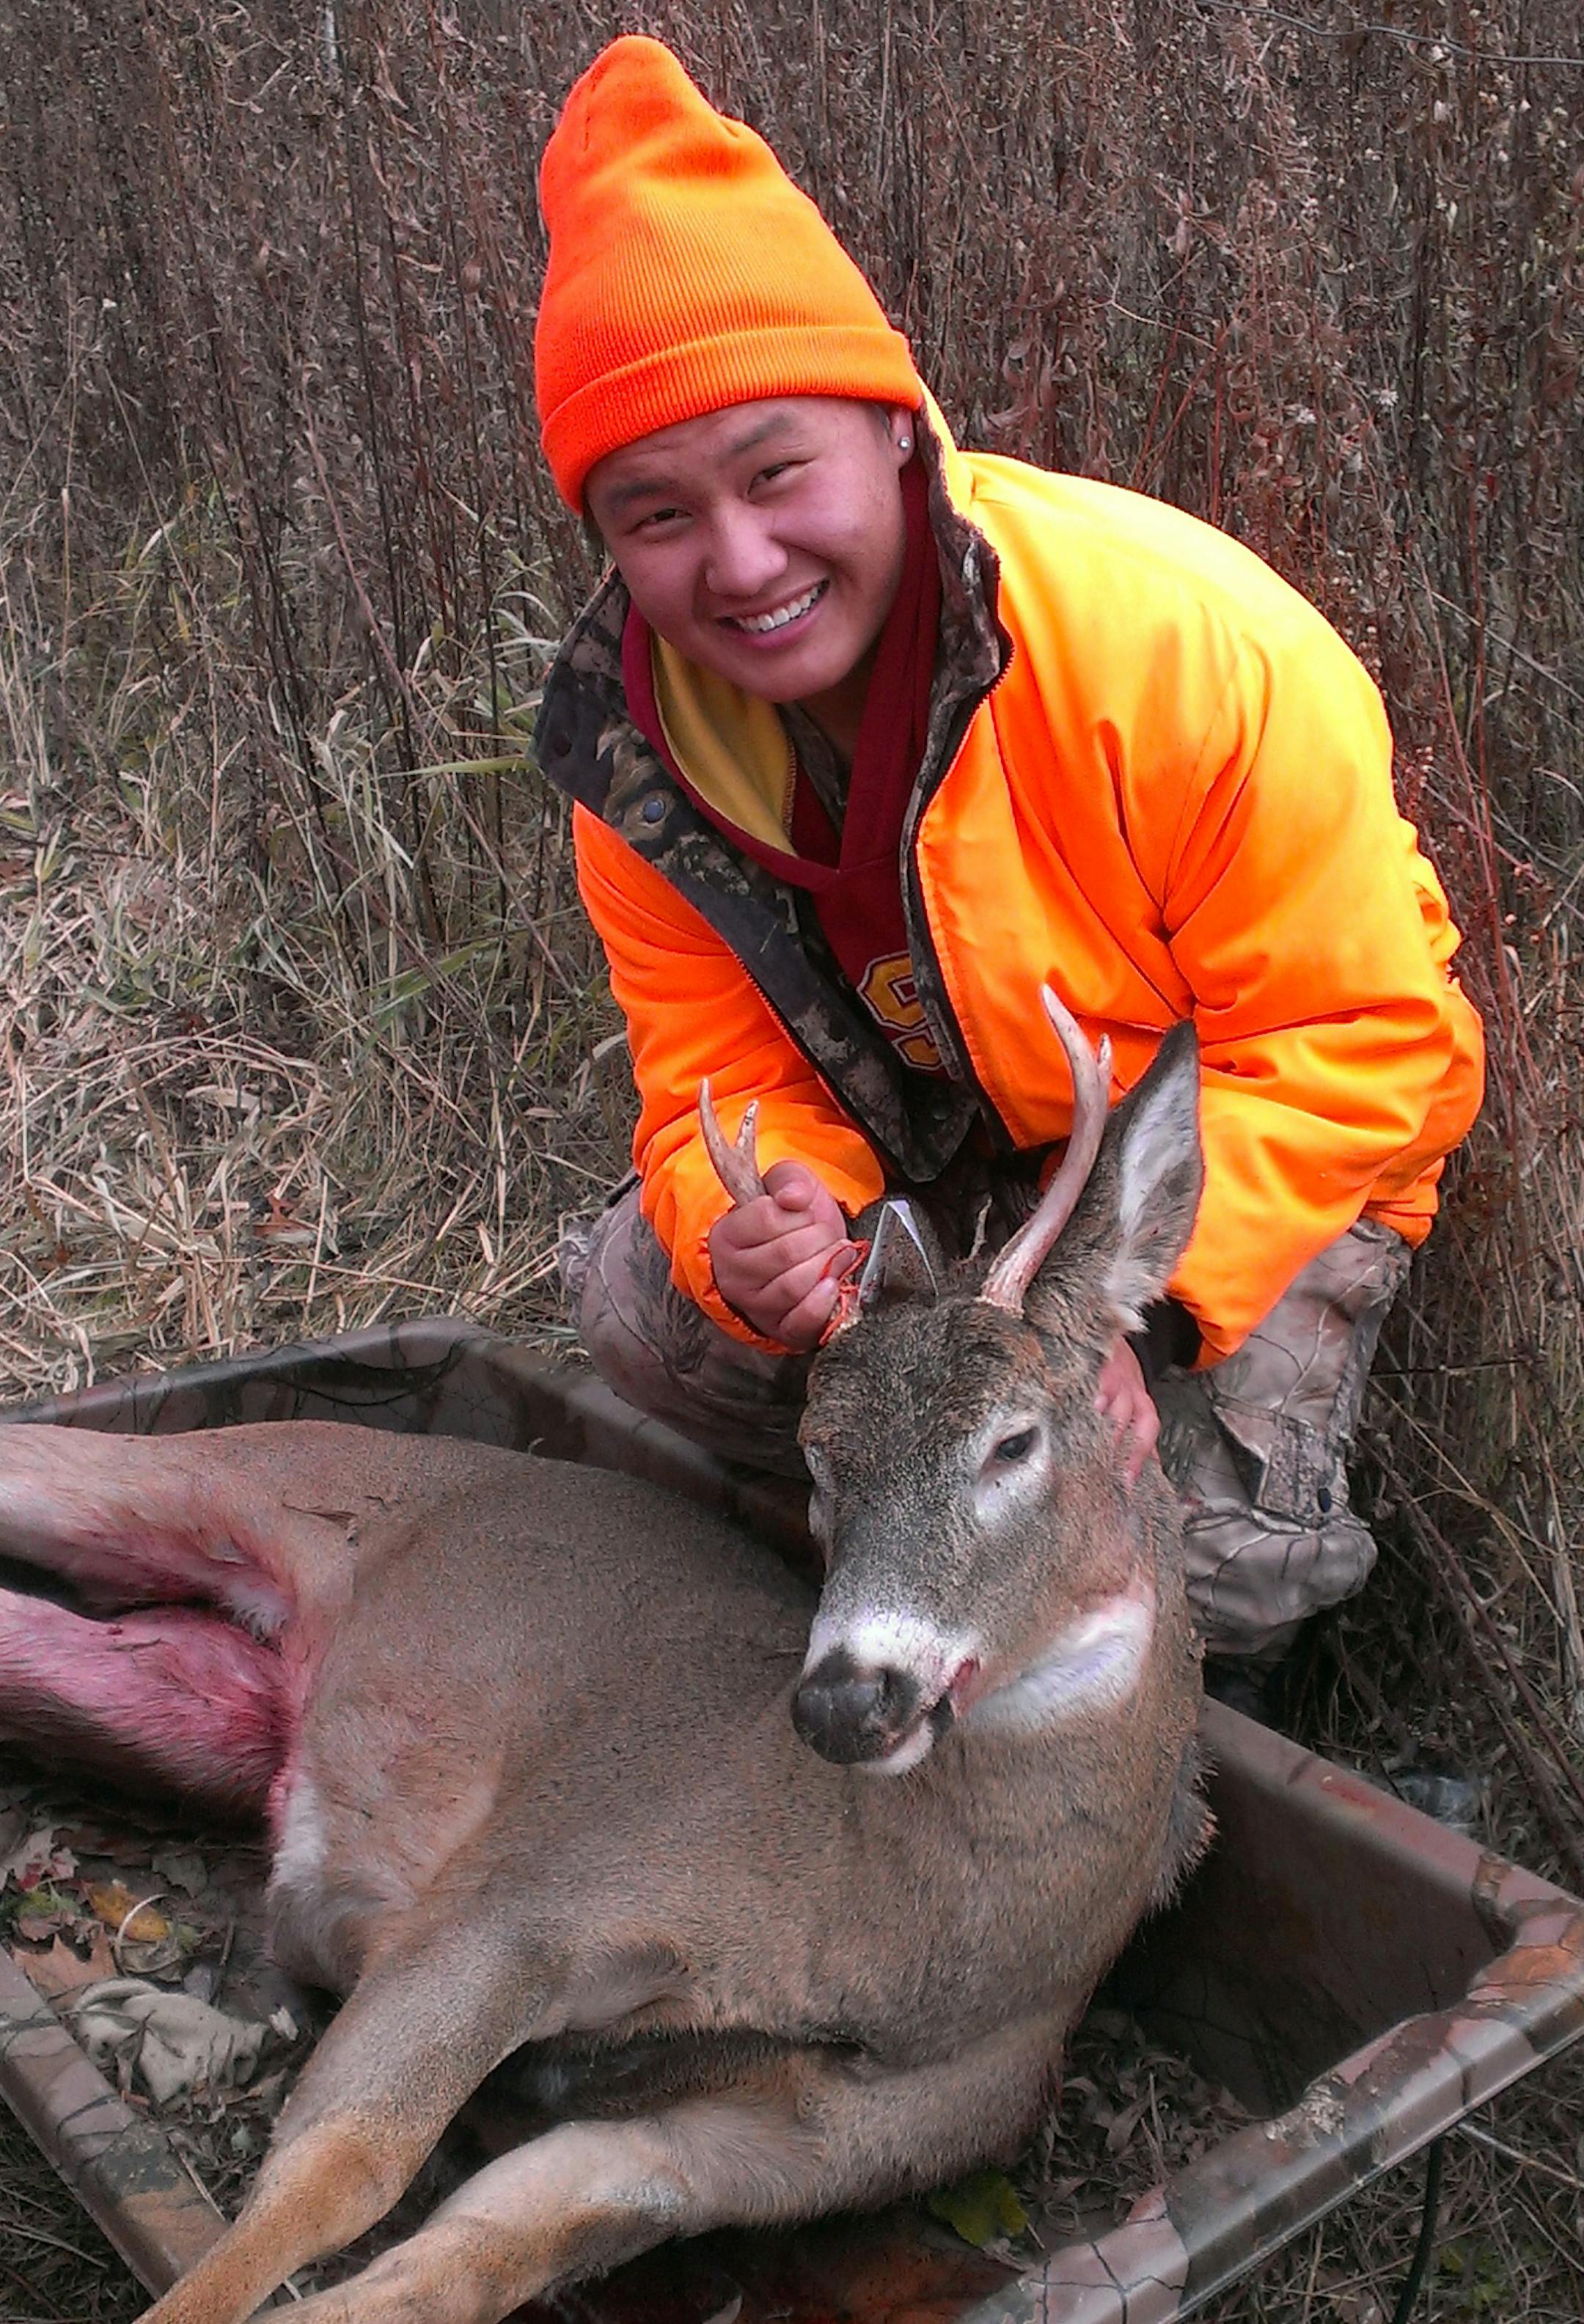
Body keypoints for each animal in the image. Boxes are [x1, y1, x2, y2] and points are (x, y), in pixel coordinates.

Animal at [0, 990, 1208, 2324]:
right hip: (230, 1469)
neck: (892, 1962)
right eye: (818, 1458)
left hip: (185, 1702)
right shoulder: (531, 1891)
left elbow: (460, 2262)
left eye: (1013, 1440)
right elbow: (345, 2167)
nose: (846, 1698)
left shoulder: (774, 2146)